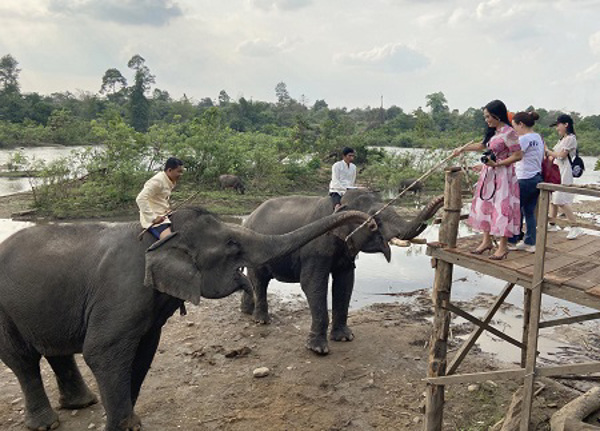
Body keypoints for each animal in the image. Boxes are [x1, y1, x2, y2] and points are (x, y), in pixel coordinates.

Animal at [0, 208, 372, 430]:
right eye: (232, 244)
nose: (367, 219)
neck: (159, 236)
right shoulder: (122, 292)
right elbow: (102, 352)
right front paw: (125, 427)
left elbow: (144, 353)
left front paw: (132, 421)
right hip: (3, 312)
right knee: (23, 360)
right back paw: (47, 423)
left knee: (55, 351)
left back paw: (82, 403)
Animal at [240, 191, 446, 356]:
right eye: (375, 221)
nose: (442, 199)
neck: (341, 205)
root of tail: (247, 218)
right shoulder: (315, 248)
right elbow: (313, 283)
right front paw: (318, 349)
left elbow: (345, 282)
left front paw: (345, 338)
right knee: (259, 280)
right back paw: (261, 320)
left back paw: (247, 312)